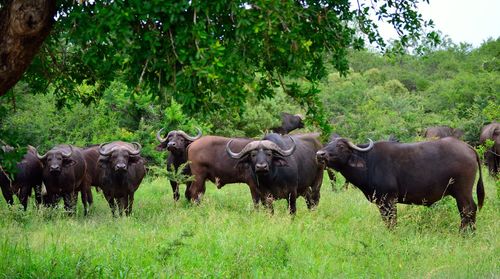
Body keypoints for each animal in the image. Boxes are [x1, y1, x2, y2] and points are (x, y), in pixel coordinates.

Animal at [316, 138, 484, 232]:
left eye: (341, 146)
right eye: (328, 143)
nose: (320, 154)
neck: (369, 162)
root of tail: (468, 148)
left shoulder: (389, 200)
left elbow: (392, 220)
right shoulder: (381, 203)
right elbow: (386, 220)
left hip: (462, 191)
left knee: (468, 209)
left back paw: (464, 233)